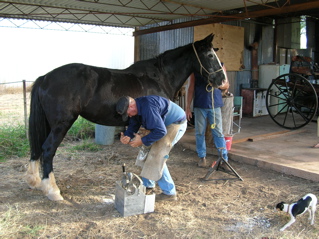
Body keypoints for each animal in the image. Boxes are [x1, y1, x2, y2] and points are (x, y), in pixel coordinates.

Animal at [25, 33, 225, 200]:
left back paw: (35, 182)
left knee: (37, 149)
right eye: (210, 55)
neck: (160, 76)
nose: (222, 81)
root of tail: (44, 78)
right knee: (48, 150)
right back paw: (53, 191)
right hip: (61, 124)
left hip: (48, 124)